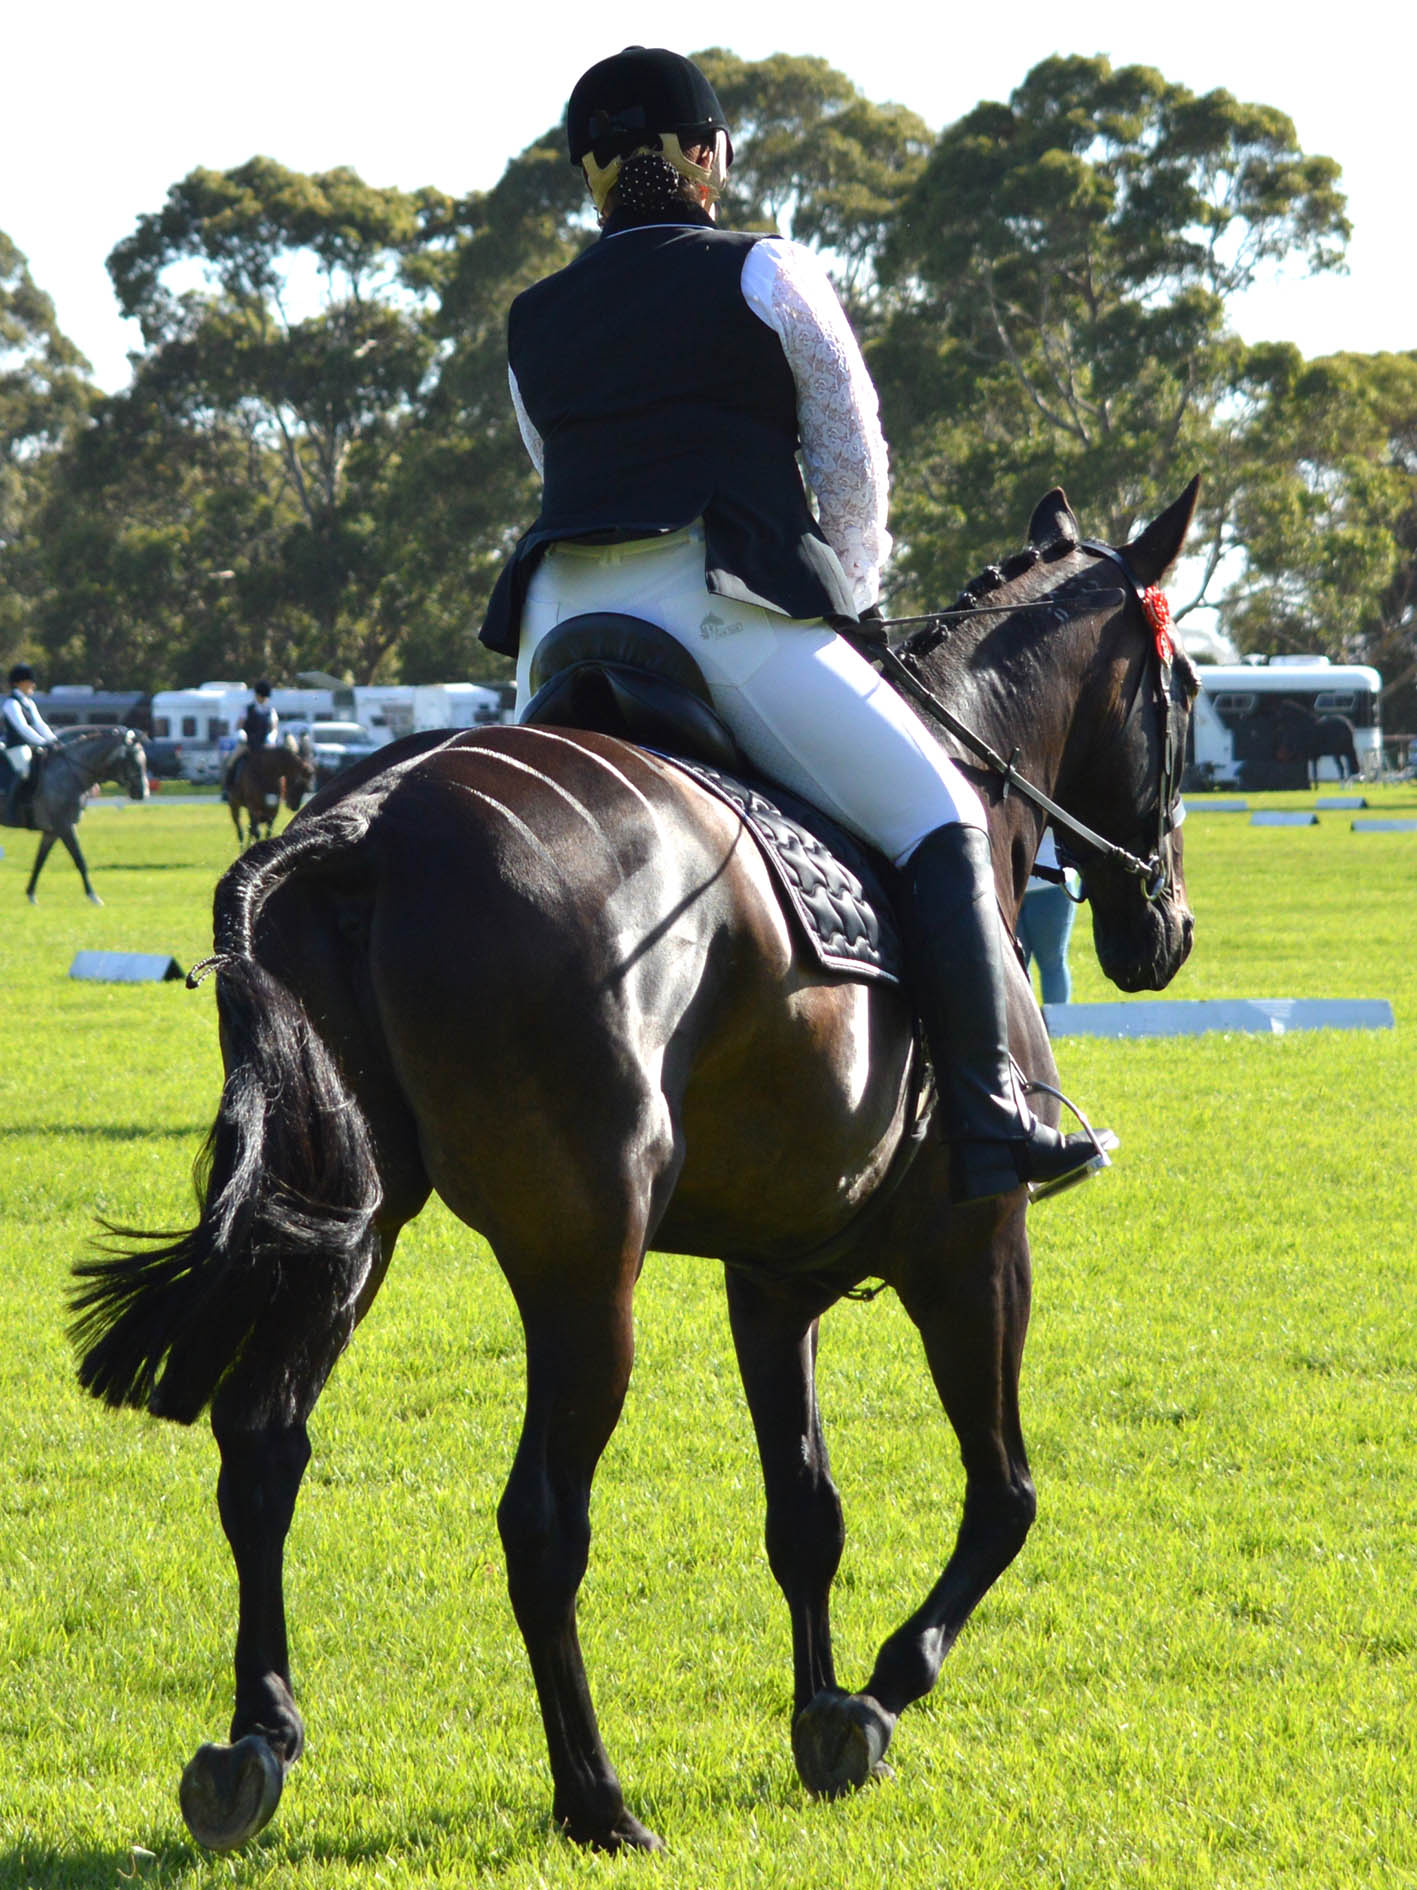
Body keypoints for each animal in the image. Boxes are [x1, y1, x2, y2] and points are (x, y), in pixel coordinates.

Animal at [2, 721, 150, 899]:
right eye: (132, 761)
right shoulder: (65, 827)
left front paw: (31, 894)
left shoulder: (52, 831)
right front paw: (93, 896)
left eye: (144, 760)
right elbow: (79, 859)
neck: (68, 773)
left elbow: (40, 860)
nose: (142, 793)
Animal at [72, 480, 1201, 1852]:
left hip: (348, 1218)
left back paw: (257, 1742)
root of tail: (363, 825)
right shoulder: (974, 1247)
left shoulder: (773, 1279)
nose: (1163, 929)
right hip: (582, 1253)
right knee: (540, 1519)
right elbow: (1005, 1498)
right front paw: (877, 1696)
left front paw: (819, 1708)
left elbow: (804, 1515)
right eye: (1184, 688)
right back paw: (595, 1799)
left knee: (262, 1448)